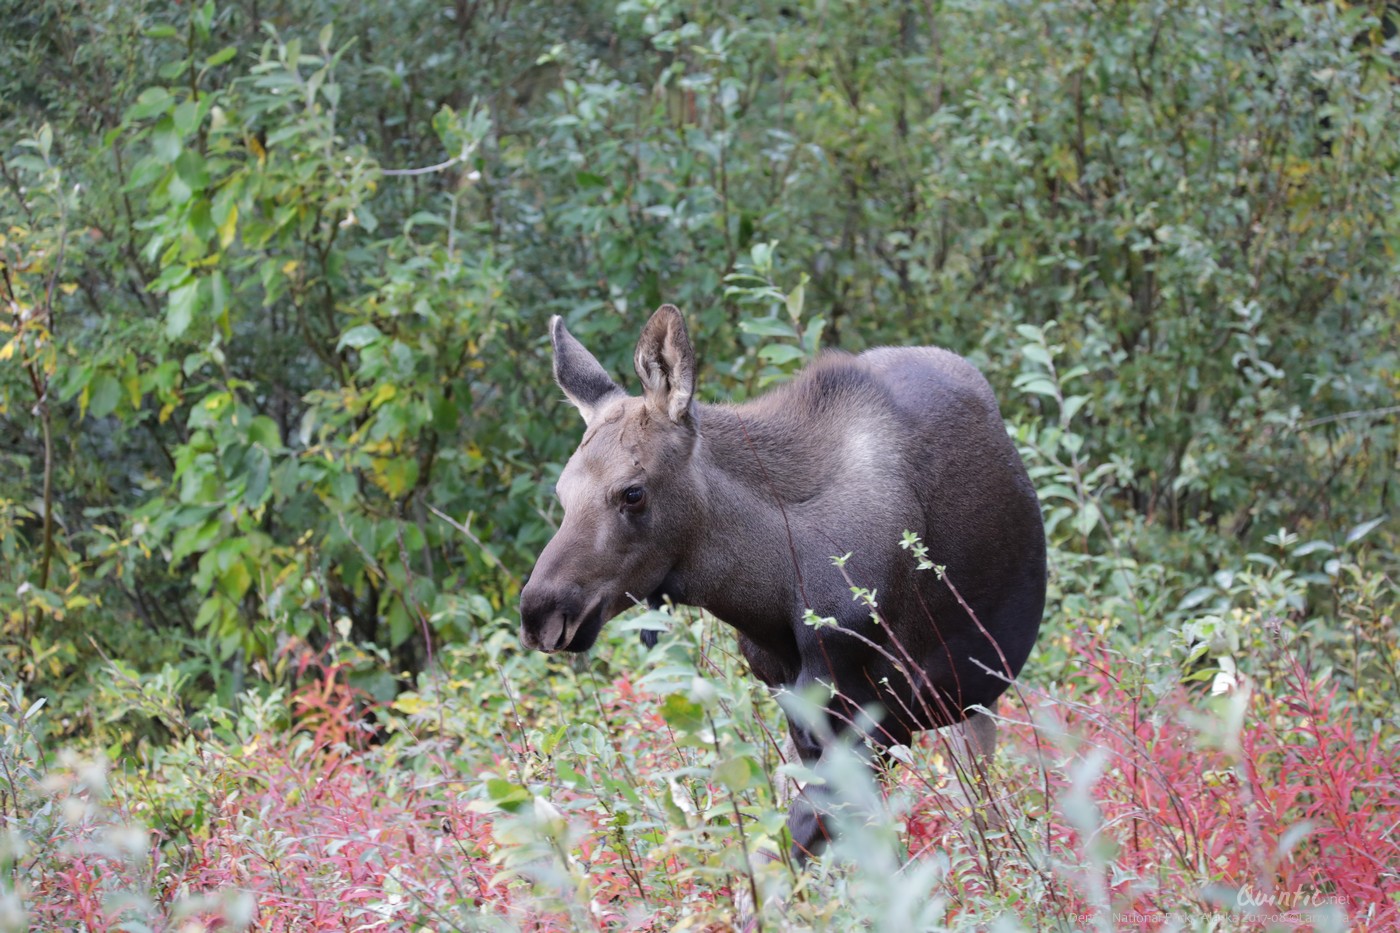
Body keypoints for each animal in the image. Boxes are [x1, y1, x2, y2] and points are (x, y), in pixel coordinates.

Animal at [520, 305, 1047, 857]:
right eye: (562, 491)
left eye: (633, 492)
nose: (540, 613)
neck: (767, 593)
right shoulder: (798, 708)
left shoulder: (873, 718)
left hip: (972, 693)